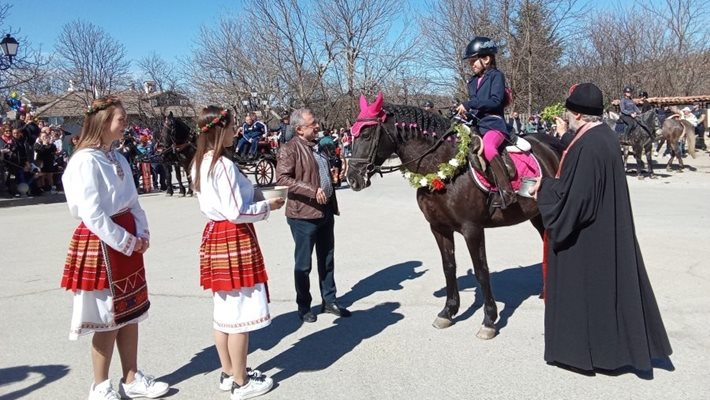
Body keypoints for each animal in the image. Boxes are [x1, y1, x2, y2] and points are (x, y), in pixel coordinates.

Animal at [348, 95, 564, 340]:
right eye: (352, 134)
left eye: (366, 134)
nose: (352, 178)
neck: (441, 167)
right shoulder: (439, 227)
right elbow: (448, 266)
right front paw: (448, 311)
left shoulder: (472, 229)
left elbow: (481, 271)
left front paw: (489, 320)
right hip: (536, 216)